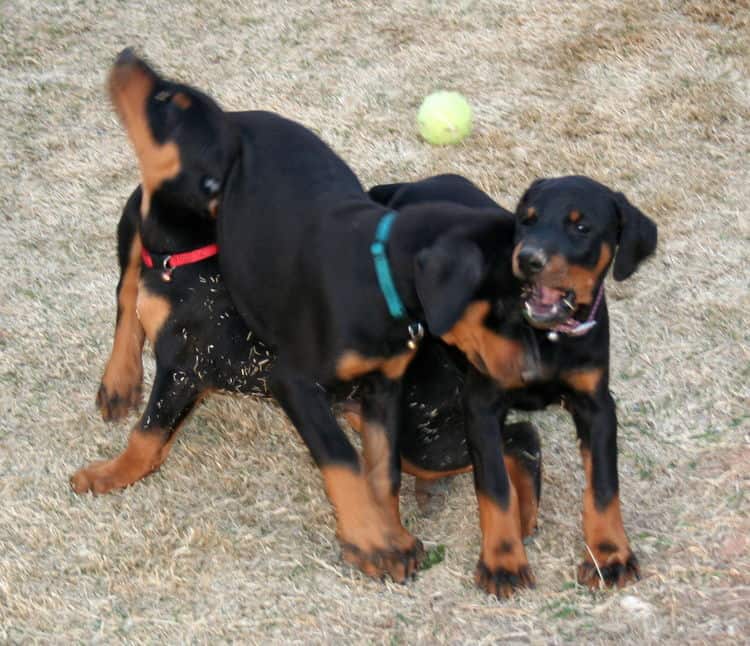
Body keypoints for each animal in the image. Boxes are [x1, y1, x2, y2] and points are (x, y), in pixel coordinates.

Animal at [91, 49, 528, 588]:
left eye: (166, 100)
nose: (129, 55)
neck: (192, 251)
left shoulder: (194, 366)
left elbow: (367, 469)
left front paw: (379, 539)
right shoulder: (220, 369)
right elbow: (149, 427)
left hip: (425, 438)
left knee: (514, 441)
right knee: (126, 289)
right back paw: (119, 381)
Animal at [368, 171, 656, 592]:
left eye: (581, 226)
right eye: (527, 220)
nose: (528, 258)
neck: (544, 334)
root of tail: (410, 184)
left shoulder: (597, 404)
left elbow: (604, 485)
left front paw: (610, 554)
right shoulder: (482, 404)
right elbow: (495, 488)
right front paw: (502, 562)